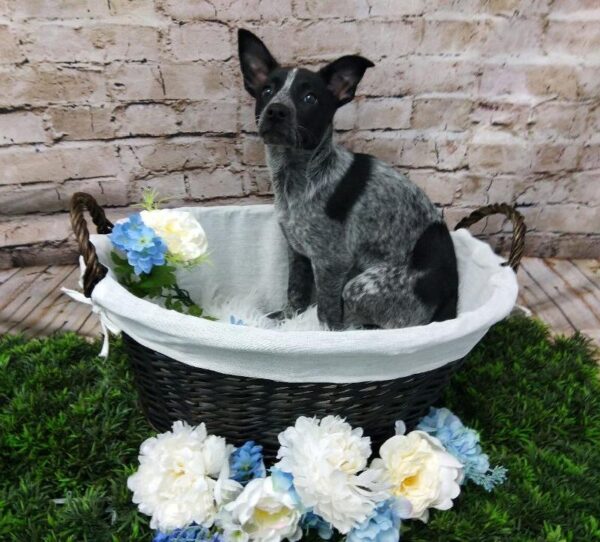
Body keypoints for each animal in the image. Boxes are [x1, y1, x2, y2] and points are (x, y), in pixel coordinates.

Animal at [237, 29, 458, 332]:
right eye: (267, 92)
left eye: (310, 98)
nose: (276, 111)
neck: (298, 176)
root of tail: (450, 300)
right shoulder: (298, 251)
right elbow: (295, 292)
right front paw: (285, 320)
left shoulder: (332, 262)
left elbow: (327, 315)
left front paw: (321, 335)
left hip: (360, 287)